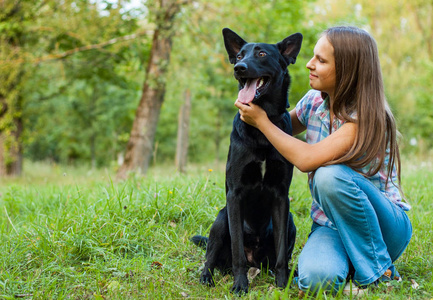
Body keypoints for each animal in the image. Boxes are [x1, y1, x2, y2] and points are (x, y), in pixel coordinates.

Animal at [191, 29, 302, 294]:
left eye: (261, 54)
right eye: (239, 55)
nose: (239, 68)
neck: (262, 130)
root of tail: (256, 261)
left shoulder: (281, 196)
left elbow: (281, 255)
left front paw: (281, 284)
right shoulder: (235, 194)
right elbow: (237, 253)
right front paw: (240, 285)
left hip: (291, 221)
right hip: (221, 219)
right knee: (210, 259)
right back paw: (207, 278)